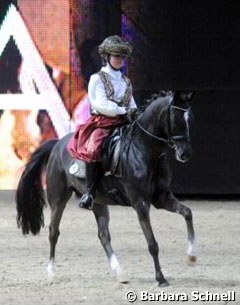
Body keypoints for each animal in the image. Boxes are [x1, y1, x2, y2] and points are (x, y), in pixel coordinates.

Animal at [15, 90, 197, 284]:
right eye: (176, 118)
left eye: (190, 119)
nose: (185, 154)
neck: (145, 150)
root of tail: (57, 144)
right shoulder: (140, 202)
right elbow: (152, 243)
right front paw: (160, 278)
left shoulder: (161, 198)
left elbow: (187, 213)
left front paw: (191, 256)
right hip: (58, 199)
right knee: (53, 232)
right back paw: (51, 272)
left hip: (98, 202)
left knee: (103, 235)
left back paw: (119, 272)